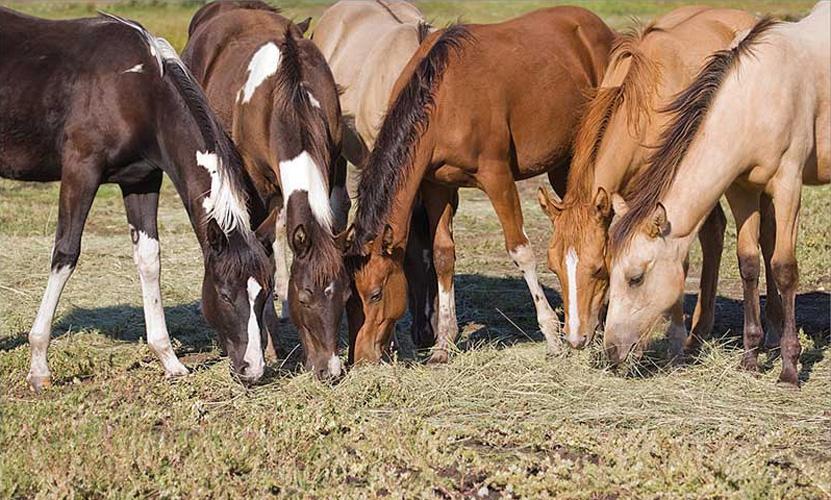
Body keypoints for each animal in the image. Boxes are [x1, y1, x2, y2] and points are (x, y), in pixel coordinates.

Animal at [0, 8, 274, 390]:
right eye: (223, 293)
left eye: (265, 293)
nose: (253, 370)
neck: (138, 90)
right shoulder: (80, 172)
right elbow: (65, 254)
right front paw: (39, 366)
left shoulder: (141, 181)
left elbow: (149, 259)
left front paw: (170, 360)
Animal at [183, 1, 348, 379]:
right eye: (305, 297)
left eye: (345, 296)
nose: (329, 369)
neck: (289, 95)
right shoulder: (255, 190)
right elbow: (263, 255)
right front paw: (270, 345)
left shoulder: (332, 165)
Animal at [345, 7, 615, 364]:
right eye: (351, 297)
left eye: (375, 294)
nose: (362, 357)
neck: (444, 98)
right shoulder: (436, 186)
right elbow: (443, 255)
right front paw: (443, 344)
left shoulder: (497, 177)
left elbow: (520, 251)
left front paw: (552, 335)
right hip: (562, 162)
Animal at [536, 6, 757, 355]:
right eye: (553, 267)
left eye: (597, 268)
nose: (575, 339)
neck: (643, 107)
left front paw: (670, 337)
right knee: (713, 232)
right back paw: (700, 330)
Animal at [604, 2, 829, 388]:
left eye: (636, 278)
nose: (611, 351)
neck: (756, 98)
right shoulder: (742, 189)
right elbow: (749, 263)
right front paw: (750, 358)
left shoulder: (788, 184)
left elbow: (783, 267)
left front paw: (788, 368)